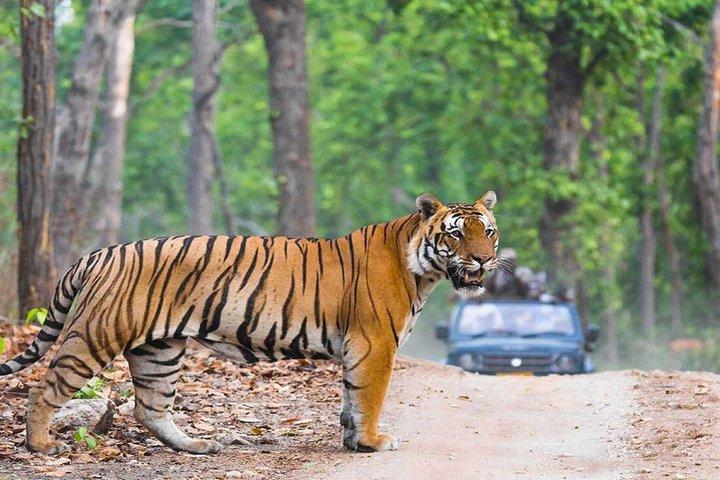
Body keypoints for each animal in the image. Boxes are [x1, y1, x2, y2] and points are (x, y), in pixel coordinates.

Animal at [0, 191, 500, 455]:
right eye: (456, 234)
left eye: (489, 231)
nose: (483, 260)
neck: (422, 269)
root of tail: (100, 252)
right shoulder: (375, 343)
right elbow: (369, 398)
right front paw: (374, 442)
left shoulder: (360, 347)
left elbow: (351, 399)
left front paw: (353, 440)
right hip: (95, 336)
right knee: (45, 389)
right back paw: (41, 445)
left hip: (158, 350)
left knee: (150, 407)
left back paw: (197, 446)